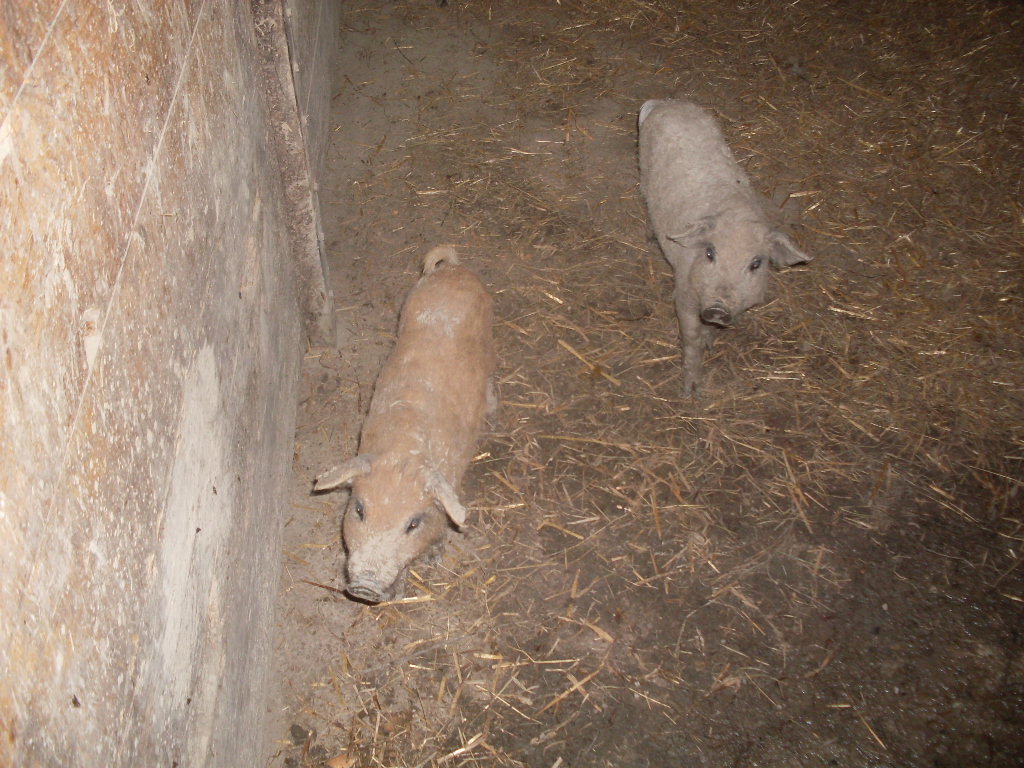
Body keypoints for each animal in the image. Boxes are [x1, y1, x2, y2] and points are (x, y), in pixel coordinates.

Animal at [314, 246, 495, 604]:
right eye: (359, 510)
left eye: (412, 524)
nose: (364, 588)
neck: (403, 448)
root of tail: (454, 268)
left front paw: (434, 557)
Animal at [638, 98, 810, 393]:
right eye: (710, 253)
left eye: (756, 263)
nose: (719, 307)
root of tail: (665, 102)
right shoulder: (685, 294)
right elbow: (690, 337)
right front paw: (692, 390)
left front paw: (709, 342)